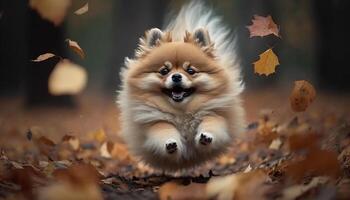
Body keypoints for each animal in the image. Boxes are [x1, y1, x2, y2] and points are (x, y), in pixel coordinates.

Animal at [117, 1, 246, 170]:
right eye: (164, 71)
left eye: (191, 71)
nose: (176, 76)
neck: (182, 113)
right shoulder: (155, 123)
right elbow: (163, 131)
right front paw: (170, 143)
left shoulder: (215, 113)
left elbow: (212, 124)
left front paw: (206, 136)